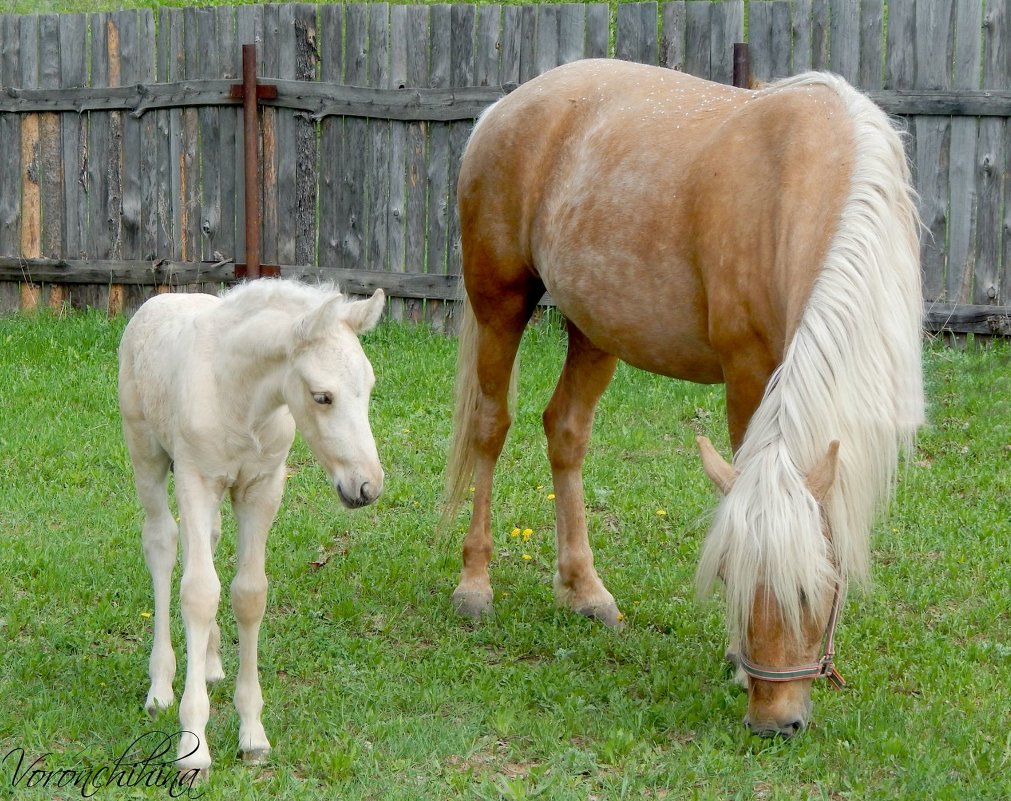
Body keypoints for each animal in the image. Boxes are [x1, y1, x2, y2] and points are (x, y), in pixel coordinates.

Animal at [119, 279, 386, 768]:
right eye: (322, 396)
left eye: (369, 386)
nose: (367, 486)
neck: (241, 398)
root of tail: (159, 299)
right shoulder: (195, 479)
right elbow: (199, 593)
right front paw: (193, 748)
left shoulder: (262, 488)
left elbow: (248, 594)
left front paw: (252, 733)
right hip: (146, 452)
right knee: (162, 543)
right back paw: (161, 686)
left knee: (204, 541)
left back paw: (209, 663)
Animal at [442, 59, 926, 740]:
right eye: (730, 577)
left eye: (813, 591)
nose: (774, 722)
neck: (811, 177)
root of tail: (505, 109)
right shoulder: (748, 372)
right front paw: (736, 661)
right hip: (501, 304)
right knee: (491, 427)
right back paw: (475, 586)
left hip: (594, 329)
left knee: (565, 431)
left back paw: (585, 592)